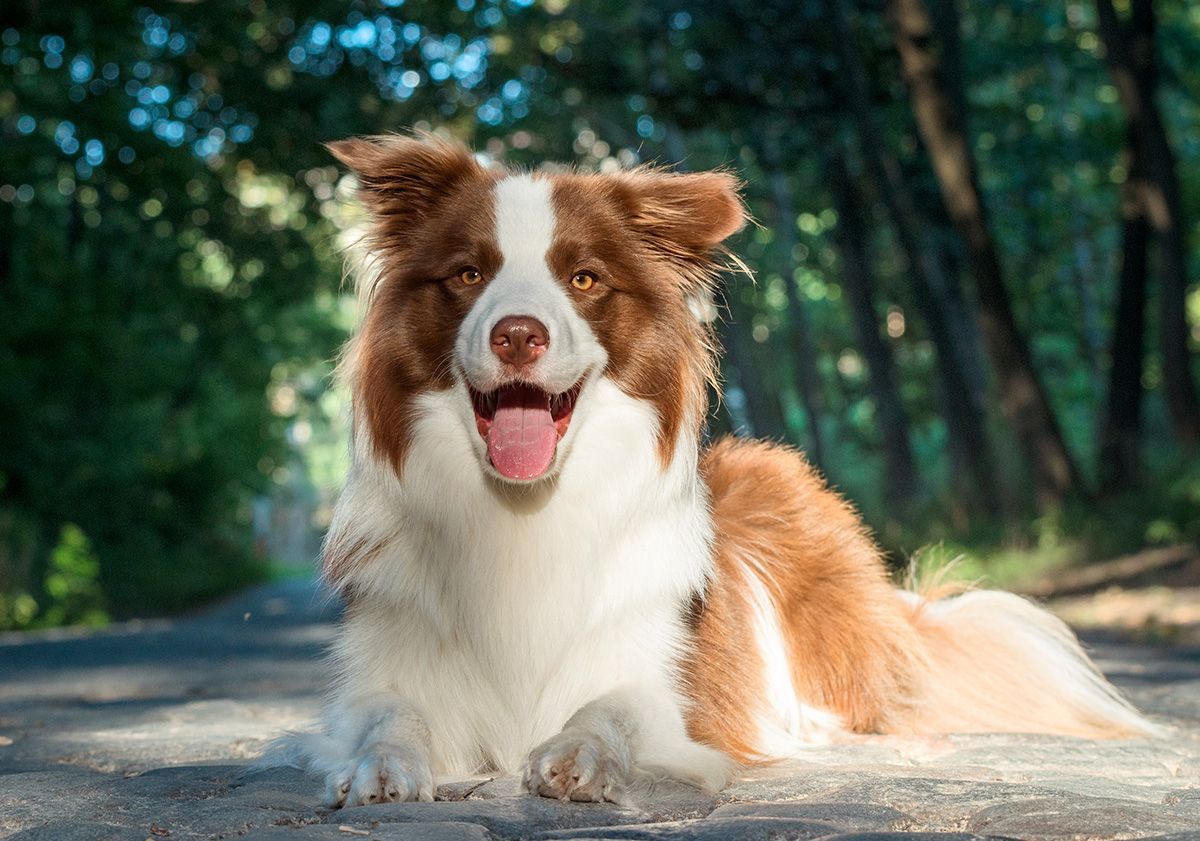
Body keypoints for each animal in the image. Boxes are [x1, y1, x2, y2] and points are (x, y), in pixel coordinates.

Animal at [276, 131, 1156, 806]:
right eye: (468, 274)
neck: (522, 511)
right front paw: (380, 765)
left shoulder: (667, 684)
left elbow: (613, 707)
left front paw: (579, 753)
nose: (517, 334)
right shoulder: (393, 667)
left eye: (583, 278)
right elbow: (391, 717)